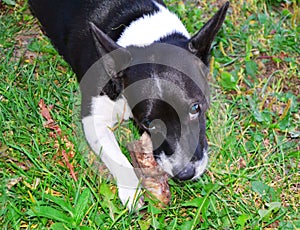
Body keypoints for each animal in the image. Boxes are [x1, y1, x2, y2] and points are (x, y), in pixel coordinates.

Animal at [29, 0, 229, 208]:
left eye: (195, 108)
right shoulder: (94, 120)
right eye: (148, 124)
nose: (185, 173)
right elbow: (116, 156)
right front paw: (131, 191)